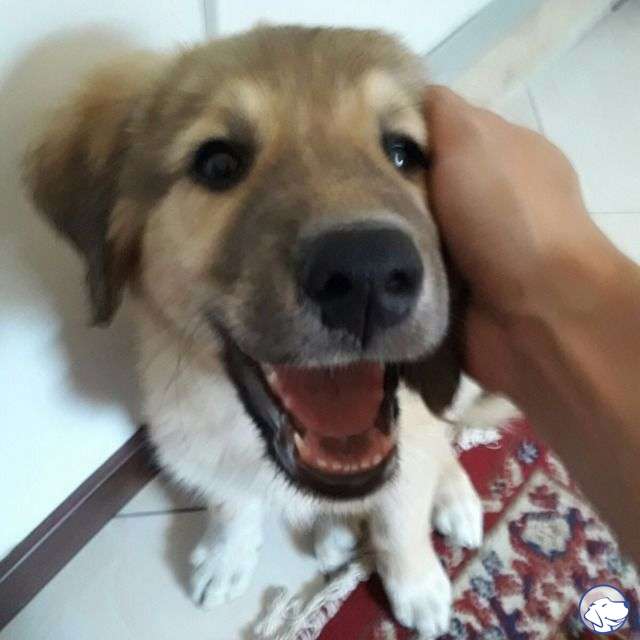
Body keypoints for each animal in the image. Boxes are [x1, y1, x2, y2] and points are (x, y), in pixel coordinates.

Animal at [24, 25, 514, 636]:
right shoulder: (191, 439)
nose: (368, 275)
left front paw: (417, 583)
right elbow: (231, 502)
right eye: (217, 164)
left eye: (404, 153)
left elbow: (400, 511)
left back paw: (454, 499)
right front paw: (227, 555)